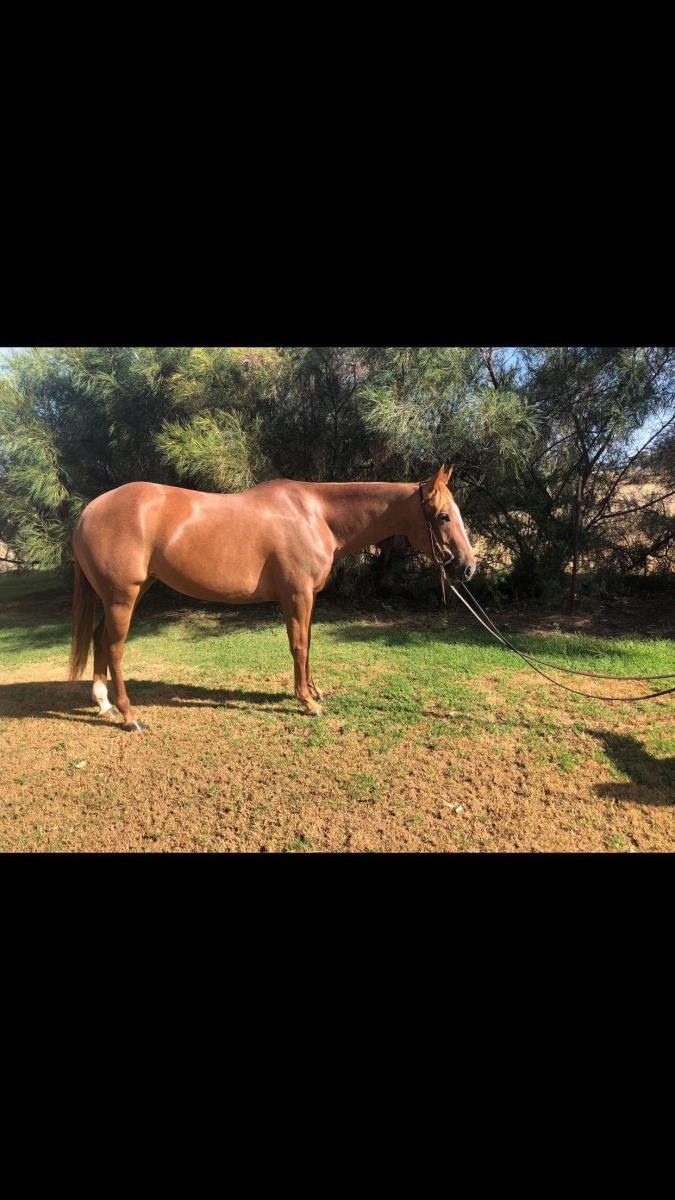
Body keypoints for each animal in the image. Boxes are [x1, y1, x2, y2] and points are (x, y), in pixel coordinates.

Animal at [69, 463, 477, 729]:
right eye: (443, 516)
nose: (468, 567)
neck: (315, 515)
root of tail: (89, 512)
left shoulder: (306, 598)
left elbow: (308, 644)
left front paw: (314, 692)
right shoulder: (296, 595)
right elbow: (299, 645)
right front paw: (307, 702)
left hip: (126, 594)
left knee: (99, 640)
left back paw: (103, 704)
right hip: (123, 597)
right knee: (114, 647)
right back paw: (128, 715)